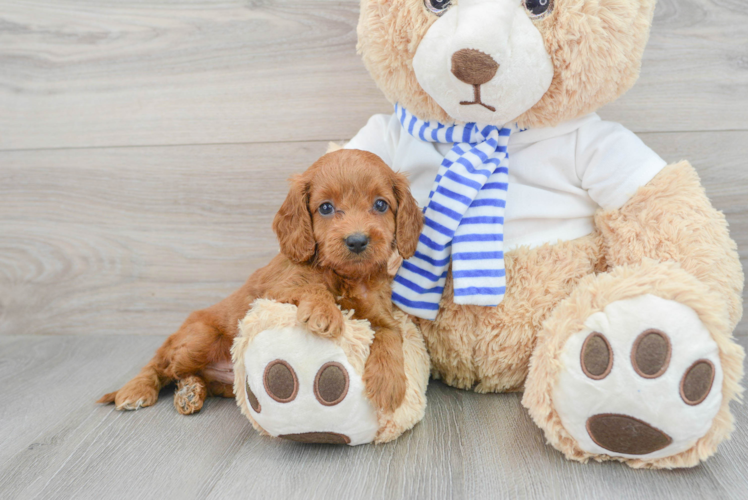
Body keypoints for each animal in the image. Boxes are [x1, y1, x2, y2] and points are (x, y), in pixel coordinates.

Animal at [98, 148, 424, 414]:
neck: (345, 275)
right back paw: (137, 390)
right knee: (162, 365)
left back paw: (190, 393)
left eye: (381, 205)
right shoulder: (276, 289)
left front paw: (389, 384)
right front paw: (324, 312)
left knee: (186, 375)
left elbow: (391, 334)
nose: (357, 241)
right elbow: (313, 287)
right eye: (326, 208)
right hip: (200, 337)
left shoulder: (380, 314)